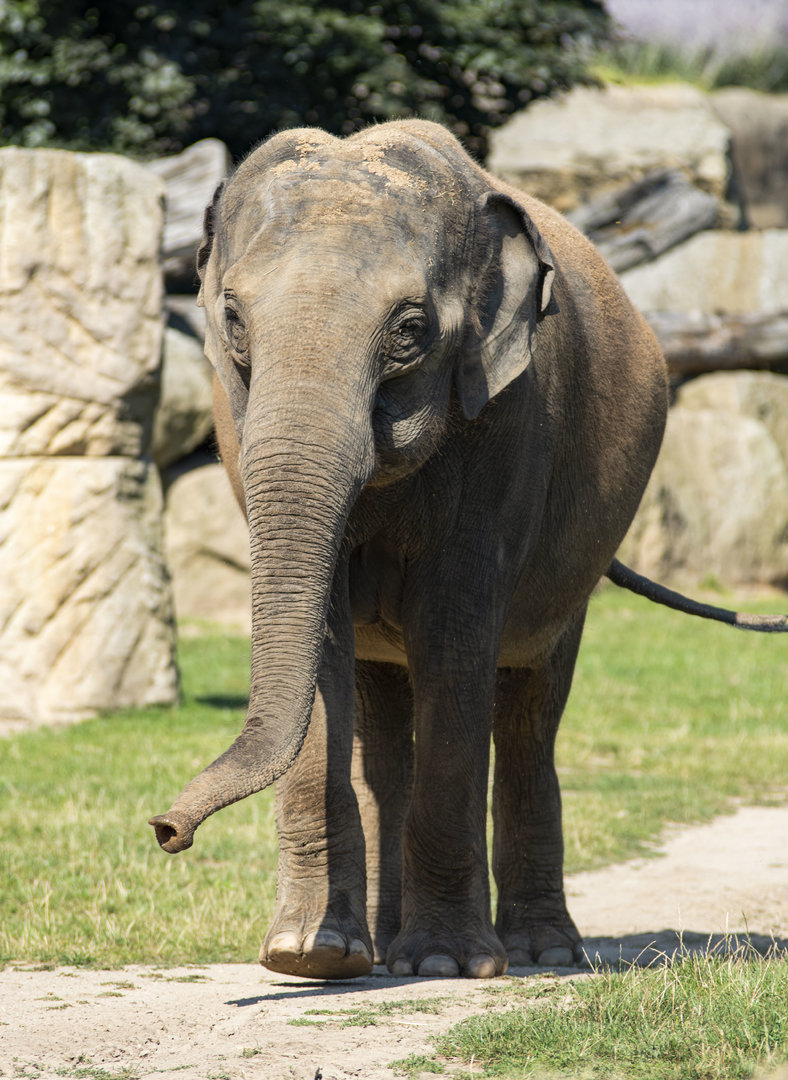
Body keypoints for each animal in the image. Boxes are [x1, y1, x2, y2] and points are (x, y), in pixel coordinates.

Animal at [150, 118, 671, 980]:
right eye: (232, 319)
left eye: (409, 330)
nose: (165, 831)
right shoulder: (234, 417)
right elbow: (323, 647)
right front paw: (310, 957)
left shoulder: (505, 428)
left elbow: (453, 641)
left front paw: (446, 966)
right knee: (383, 727)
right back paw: (379, 949)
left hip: (578, 563)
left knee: (529, 712)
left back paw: (538, 952)